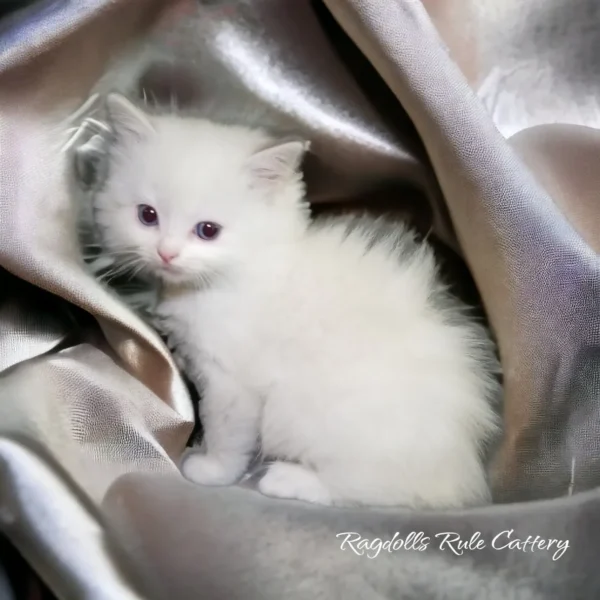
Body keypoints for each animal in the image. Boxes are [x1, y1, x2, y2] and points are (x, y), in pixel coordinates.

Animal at [96, 96, 500, 508]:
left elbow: (228, 434)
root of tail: (466, 464)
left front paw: (210, 468)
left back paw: (290, 480)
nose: (166, 253)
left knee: (373, 487)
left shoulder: (233, 384)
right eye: (147, 216)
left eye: (208, 231)